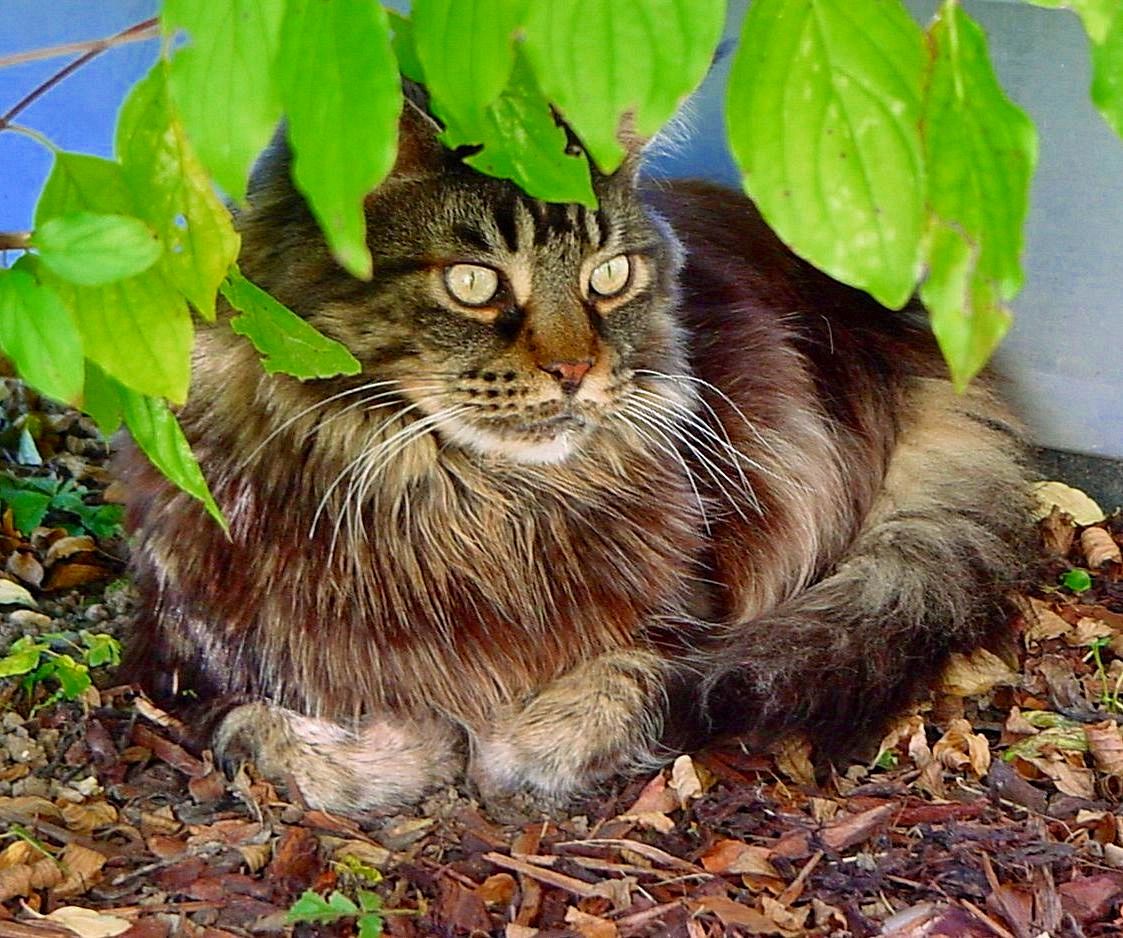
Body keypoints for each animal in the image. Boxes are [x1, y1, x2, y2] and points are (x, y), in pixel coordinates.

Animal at [113, 91, 1033, 817]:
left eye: (608, 276)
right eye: (473, 282)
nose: (574, 371)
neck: (477, 508)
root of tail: (906, 322)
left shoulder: (685, 624)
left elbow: (619, 684)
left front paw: (511, 749)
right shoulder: (186, 659)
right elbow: (274, 738)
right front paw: (400, 751)